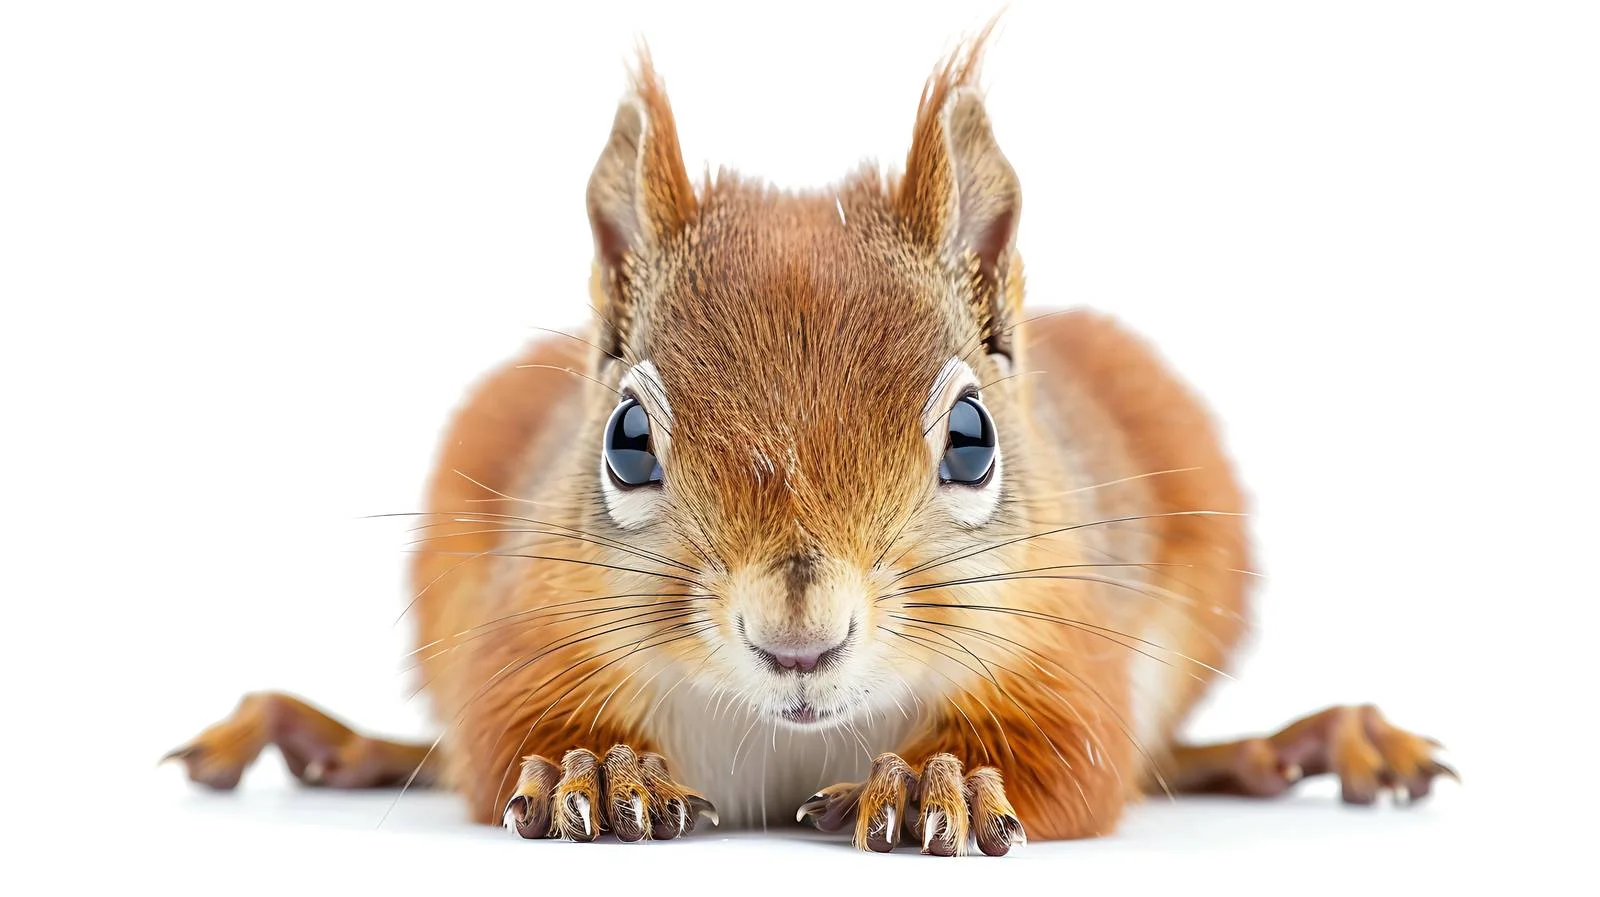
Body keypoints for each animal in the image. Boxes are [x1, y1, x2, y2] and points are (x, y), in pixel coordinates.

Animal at [164, 27, 1456, 856]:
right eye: (626, 441)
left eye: (973, 440)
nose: (799, 637)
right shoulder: (527, 626)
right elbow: (500, 737)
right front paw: (599, 769)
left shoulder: (1063, 645)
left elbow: (1080, 755)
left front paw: (939, 775)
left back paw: (1311, 746)